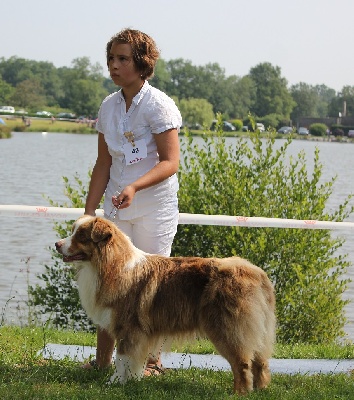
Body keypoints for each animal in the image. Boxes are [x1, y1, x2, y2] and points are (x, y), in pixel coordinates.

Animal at [55, 216, 276, 394]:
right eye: (73, 231)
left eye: (81, 236)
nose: (57, 244)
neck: (110, 265)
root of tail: (256, 273)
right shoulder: (137, 333)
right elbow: (131, 360)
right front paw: (131, 380)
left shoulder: (129, 327)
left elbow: (122, 358)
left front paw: (115, 382)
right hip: (257, 328)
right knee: (260, 361)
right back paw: (260, 390)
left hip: (226, 327)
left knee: (242, 363)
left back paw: (239, 393)